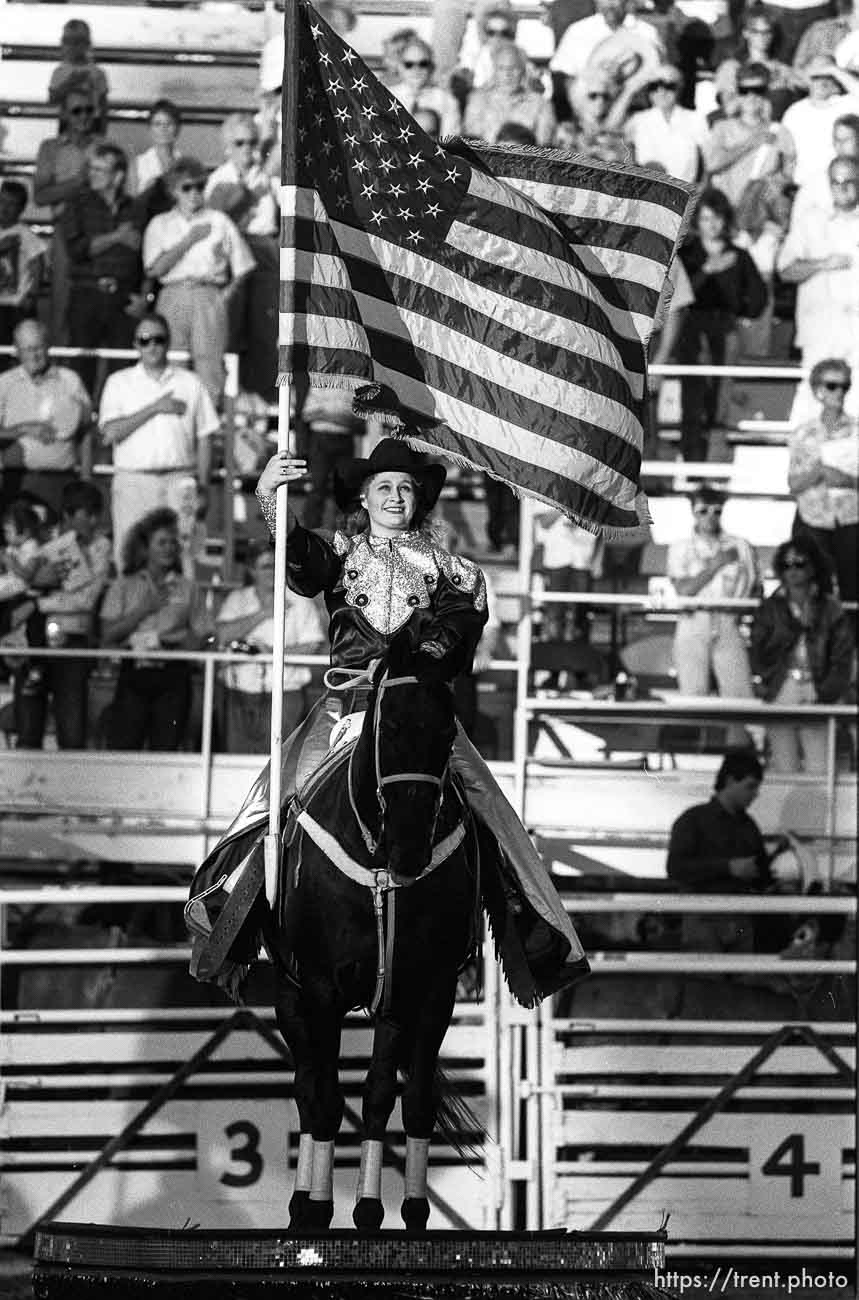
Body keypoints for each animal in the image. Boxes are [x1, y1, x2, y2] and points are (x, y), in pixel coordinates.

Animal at [265, 634, 478, 1232]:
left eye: (447, 733)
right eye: (390, 725)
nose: (410, 846)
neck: (379, 864)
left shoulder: (422, 990)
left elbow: (395, 1095)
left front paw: (387, 1209)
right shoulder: (320, 990)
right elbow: (327, 1097)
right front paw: (319, 1206)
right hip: (288, 996)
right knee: (309, 1090)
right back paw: (301, 1204)